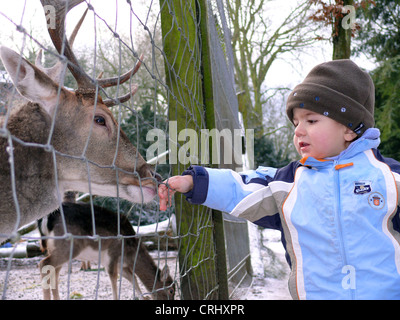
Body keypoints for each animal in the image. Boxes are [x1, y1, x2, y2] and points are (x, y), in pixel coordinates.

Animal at [37, 202, 175, 300]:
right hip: (68, 246)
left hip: (55, 249)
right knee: (43, 264)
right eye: (171, 290)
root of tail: (47, 219)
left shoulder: (122, 265)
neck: (131, 254)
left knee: (54, 271)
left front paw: (144, 297)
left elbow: (133, 278)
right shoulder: (112, 254)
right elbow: (114, 278)